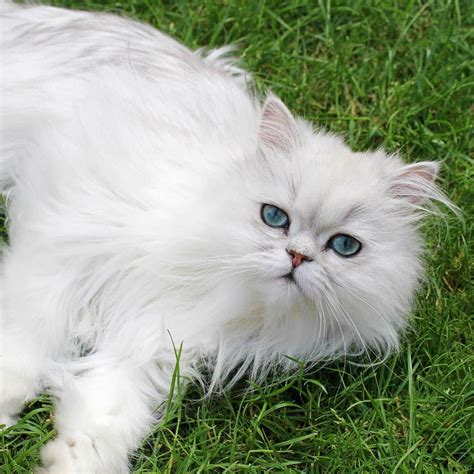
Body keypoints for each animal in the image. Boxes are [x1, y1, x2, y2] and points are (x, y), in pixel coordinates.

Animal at [0, 1, 454, 472]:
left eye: (345, 246)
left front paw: (73, 460)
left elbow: (103, 416)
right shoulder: (64, 242)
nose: (297, 256)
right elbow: (26, 341)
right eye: (274, 217)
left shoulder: (154, 345)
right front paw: (4, 410)